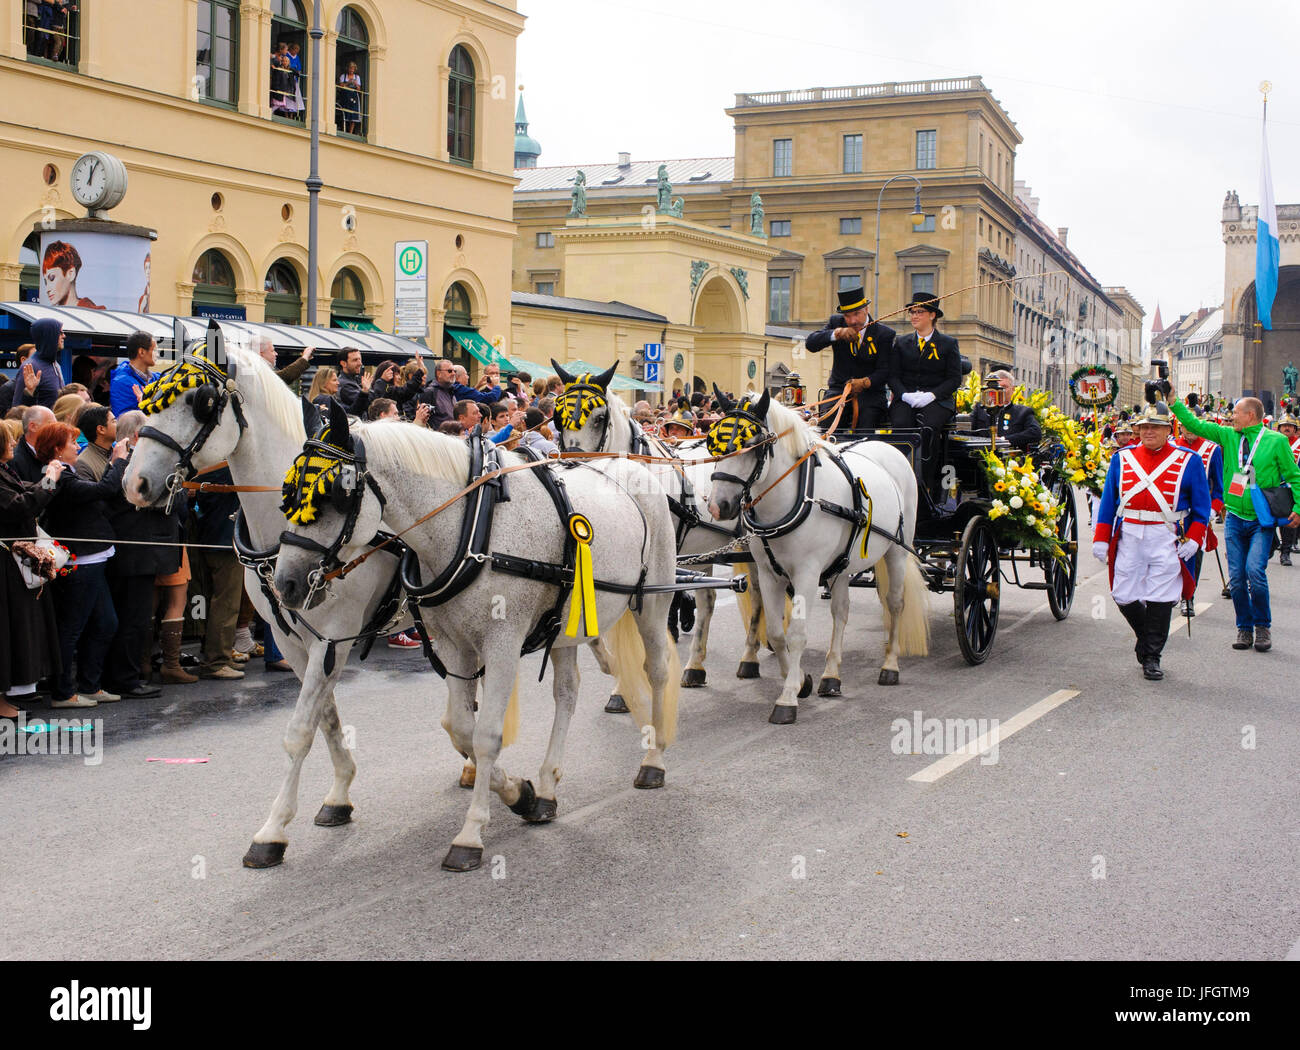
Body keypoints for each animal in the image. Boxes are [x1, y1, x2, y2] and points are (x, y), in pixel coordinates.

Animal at [118, 340, 431, 862]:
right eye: (149, 397)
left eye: (200, 401)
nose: (134, 483)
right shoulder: (292, 640)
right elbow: (324, 718)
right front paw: (339, 794)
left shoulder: (332, 637)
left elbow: (300, 731)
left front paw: (272, 831)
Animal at [274, 405, 681, 873]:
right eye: (287, 495)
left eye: (329, 496)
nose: (284, 584)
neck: (472, 524)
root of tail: (630, 466)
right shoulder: (453, 647)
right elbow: (459, 727)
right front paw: (520, 793)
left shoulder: (502, 644)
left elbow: (486, 735)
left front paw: (471, 833)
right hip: (566, 625)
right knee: (567, 693)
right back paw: (547, 786)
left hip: (652, 602)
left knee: (657, 670)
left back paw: (654, 759)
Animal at [548, 361, 769, 691]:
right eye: (558, 417)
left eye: (599, 418)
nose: (573, 464)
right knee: (708, 600)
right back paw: (695, 665)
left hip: (749, 546)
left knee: (755, 594)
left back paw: (750, 657)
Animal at [707, 384, 930, 722]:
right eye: (712, 444)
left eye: (752, 444)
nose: (719, 506)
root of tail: (886, 444)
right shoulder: (770, 574)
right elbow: (777, 633)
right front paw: (800, 682)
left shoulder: (808, 574)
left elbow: (797, 633)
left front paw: (787, 698)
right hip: (842, 565)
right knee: (841, 611)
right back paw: (831, 676)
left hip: (896, 551)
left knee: (894, 603)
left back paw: (890, 664)